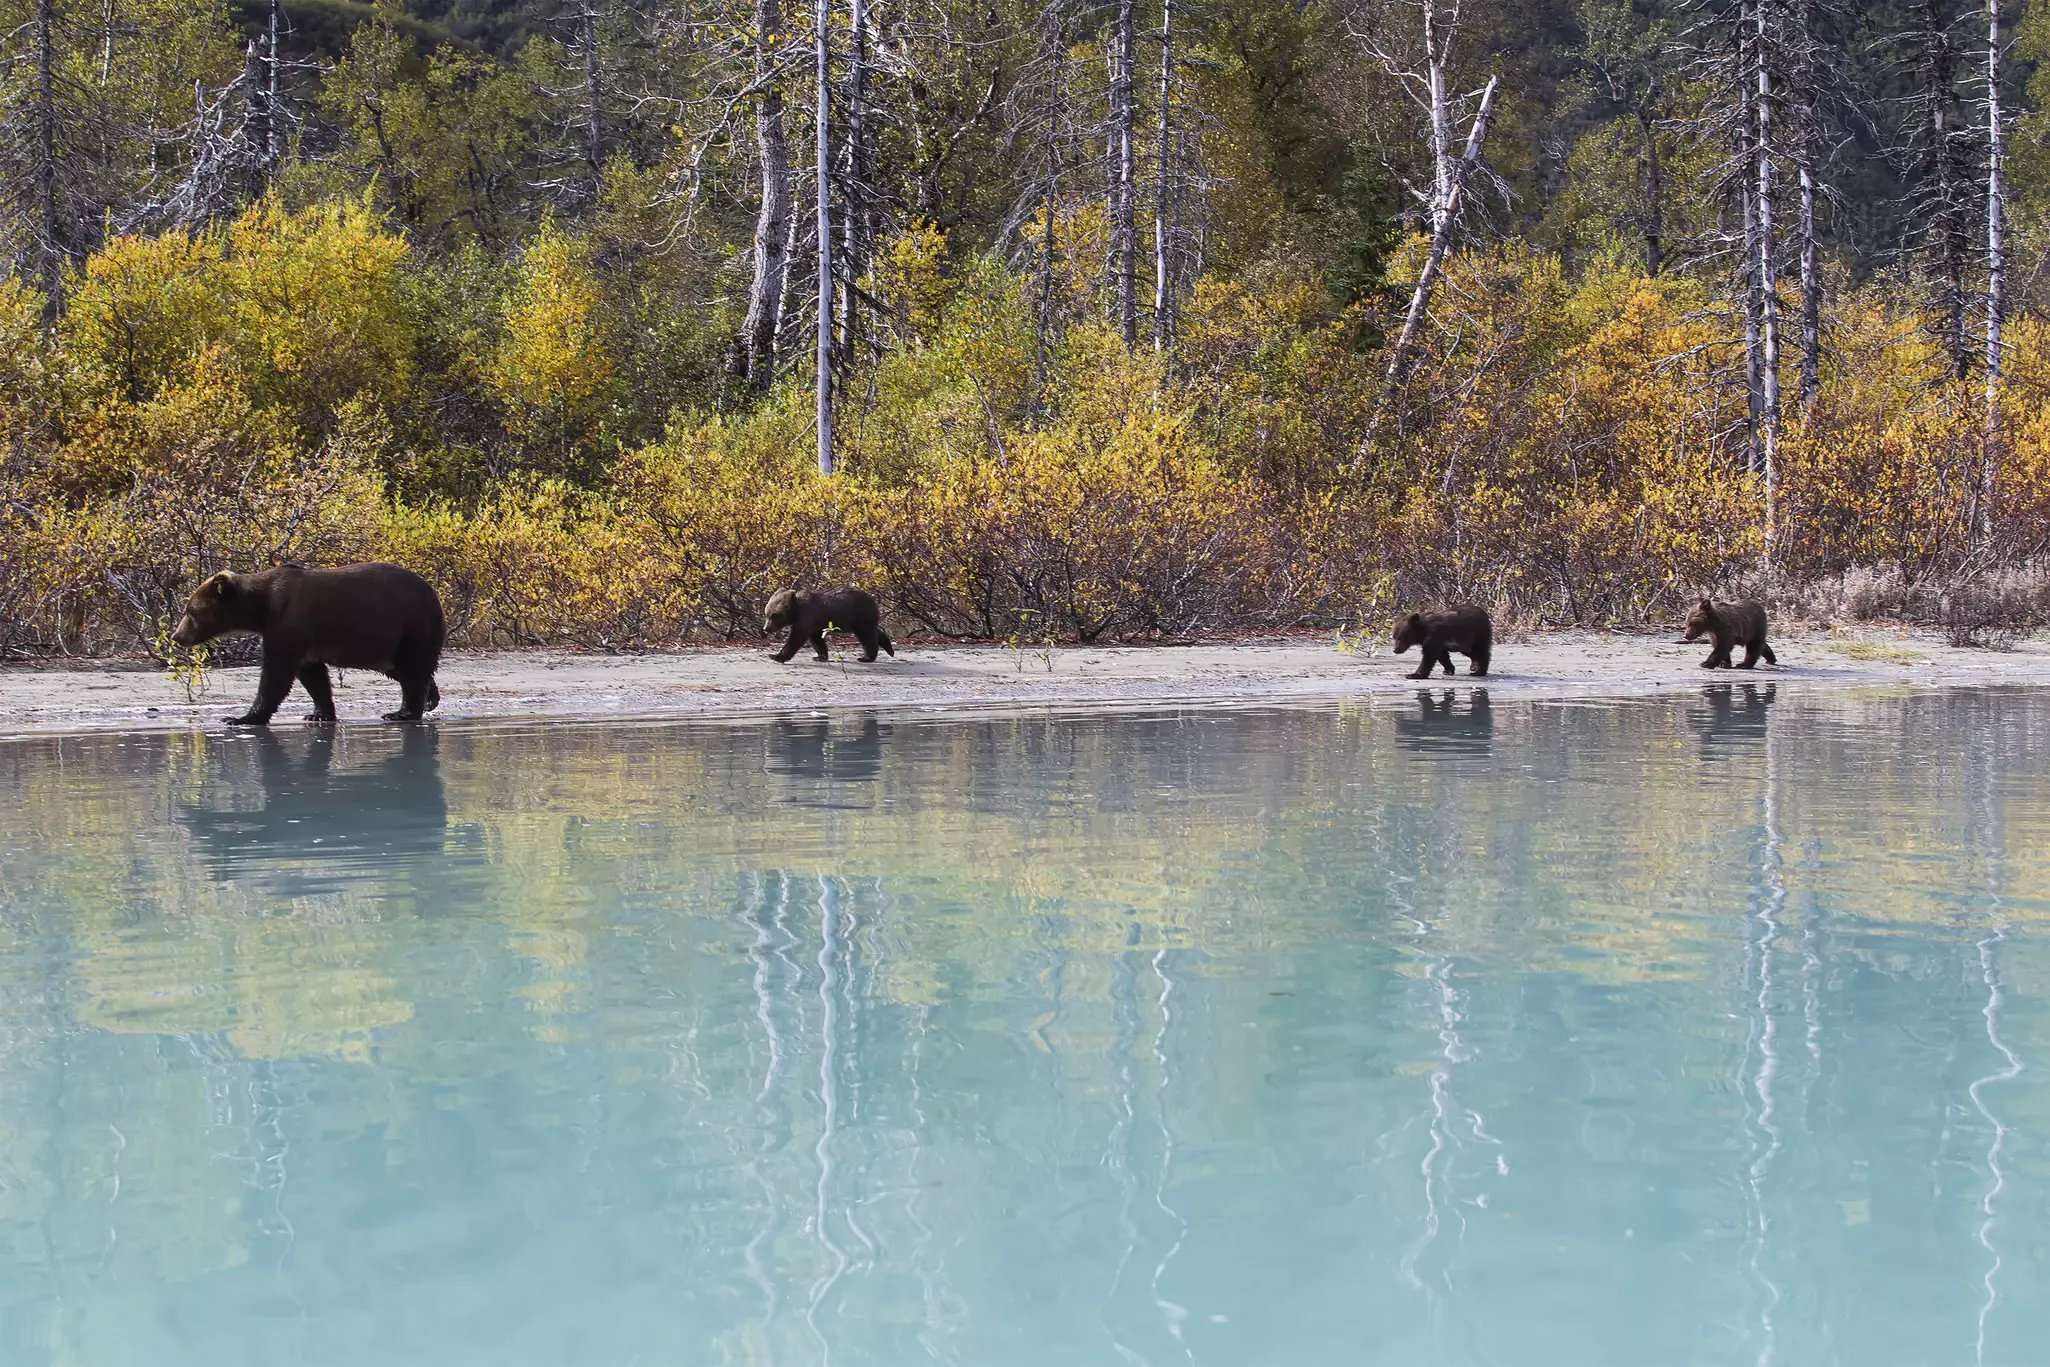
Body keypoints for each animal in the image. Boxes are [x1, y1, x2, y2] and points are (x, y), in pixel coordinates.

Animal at [170, 562, 446, 725]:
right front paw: (319, 714)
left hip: (410, 625)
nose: (177, 636)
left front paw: (240, 718)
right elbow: (313, 676)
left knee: (411, 671)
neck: (261, 609)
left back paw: (401, 713)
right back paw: (430, 697)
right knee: (406, 670)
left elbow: (276, 674)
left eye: (191, 612)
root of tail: (433, 593)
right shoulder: (305, 640)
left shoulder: (288, 622)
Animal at [763, 587, 895, 663]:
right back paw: (889, 649)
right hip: (858, 620)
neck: (797, 610)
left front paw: (776, 656)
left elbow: (797, 638)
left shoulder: (806, 617)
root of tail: (872, 599)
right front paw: (820, 656)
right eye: (767, 614)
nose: (766, 628)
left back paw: (866, 657)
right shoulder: (815, 624)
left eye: (774, 615)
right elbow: (817, 639)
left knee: (867, 636)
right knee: (873, 631)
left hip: (859, 615)